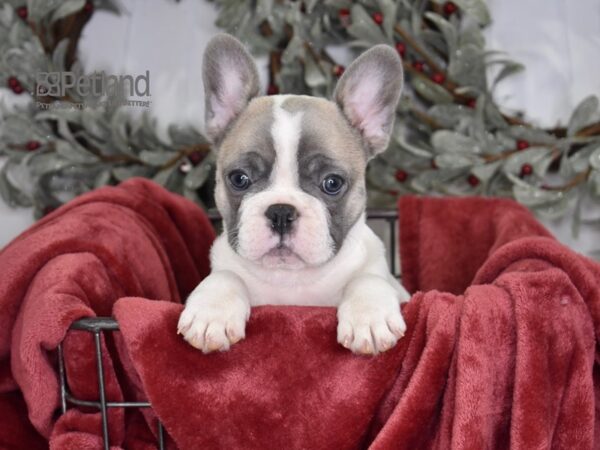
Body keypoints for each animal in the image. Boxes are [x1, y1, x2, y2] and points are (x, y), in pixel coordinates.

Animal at [177, 33, 412, 356]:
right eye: (239, 179)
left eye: (332, 183)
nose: (280, 211)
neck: (291, 278)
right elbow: (225, 275)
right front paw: (212, 311)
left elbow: (369, 279)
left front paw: (370, 316)